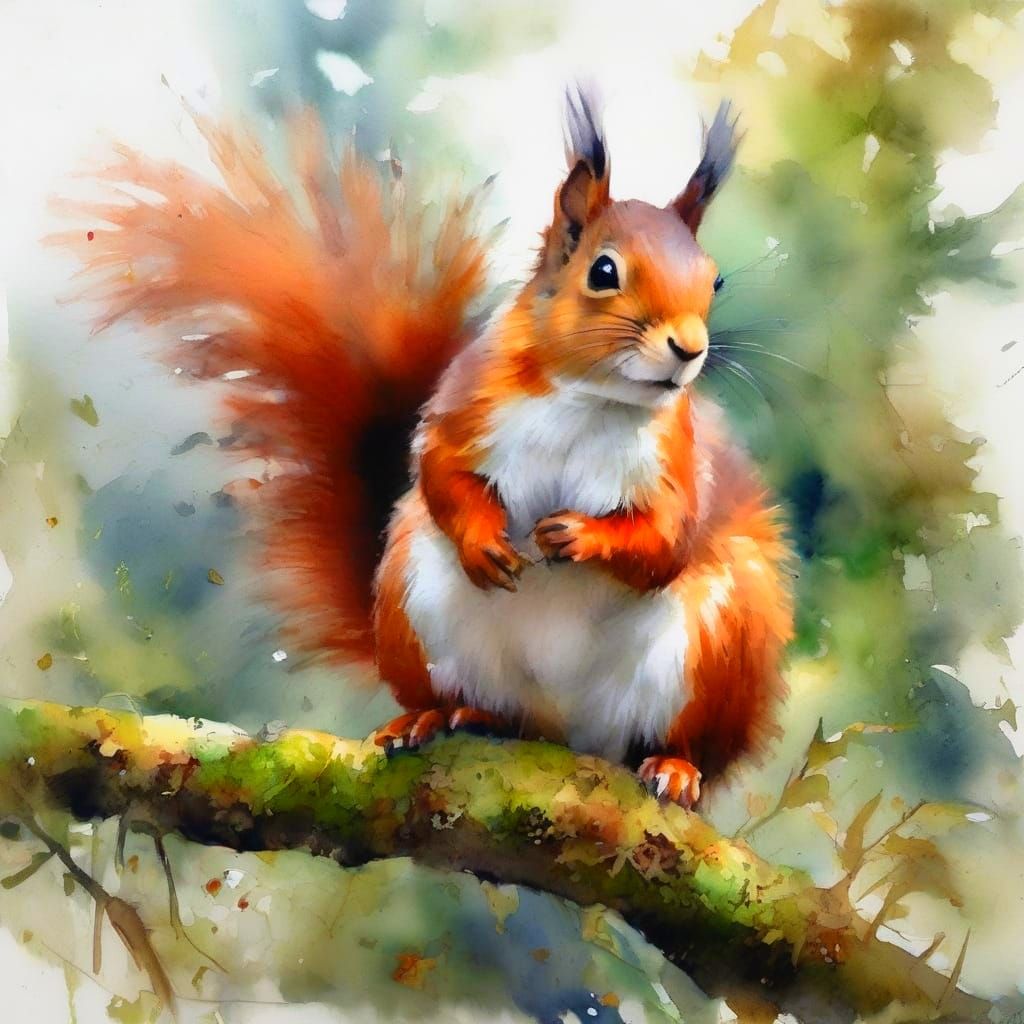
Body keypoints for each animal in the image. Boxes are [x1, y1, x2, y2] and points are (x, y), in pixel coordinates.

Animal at [68, 89, 793, 808]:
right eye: (604, 271)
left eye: (715, 280)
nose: (689, 349)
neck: (590, 400)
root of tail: (562, 733)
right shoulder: (465, 408)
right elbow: (440, 472)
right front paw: (484, 542)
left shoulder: (678, 465)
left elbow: (667, 542)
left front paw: (580, 535)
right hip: (412, 600)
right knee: (472, 700)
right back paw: (440, 717)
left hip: (721, 642)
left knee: (687, 737)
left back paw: (674, 765)